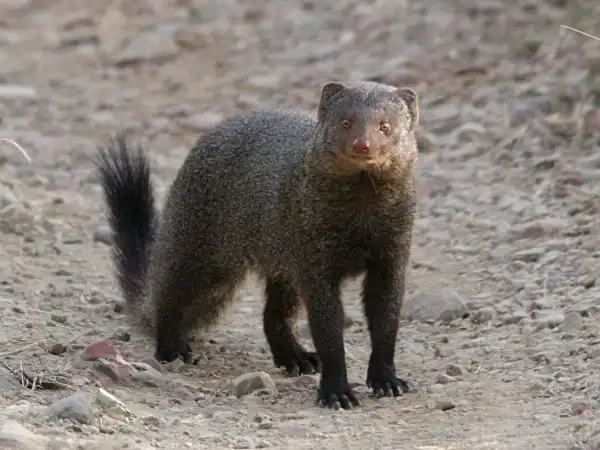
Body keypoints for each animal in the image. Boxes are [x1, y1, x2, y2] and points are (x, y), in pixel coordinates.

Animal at [95, 81, 419, 410]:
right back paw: (172, 349)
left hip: (283, 263)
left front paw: (387, 381)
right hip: (201, 247)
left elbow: (386, 320)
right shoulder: (315, 258)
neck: (361, 217)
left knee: (272, 315)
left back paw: (296, 358)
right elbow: (328, 330)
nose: (361, 146)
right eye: (346, 122)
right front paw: (337, 393)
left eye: (385, 126)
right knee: (167, 294)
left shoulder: (392, 254)